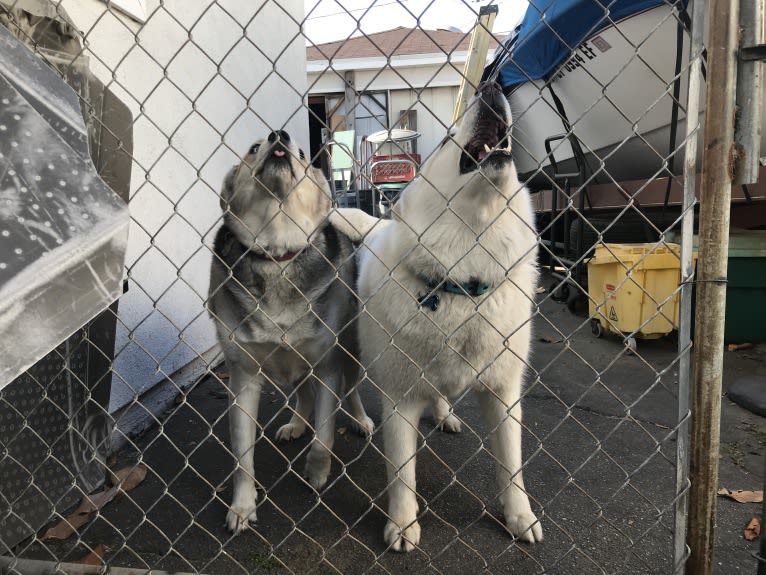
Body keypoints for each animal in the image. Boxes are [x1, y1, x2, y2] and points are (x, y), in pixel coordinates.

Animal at [208, 130, 376, 536]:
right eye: (254, 148)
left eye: (302, 153)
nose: (278, 135)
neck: (278, 254)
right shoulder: (243, 378)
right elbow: (242, 458)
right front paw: (242, 506)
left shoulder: (328, 363)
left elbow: (325, 435)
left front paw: (316, 472)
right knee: (302, 392)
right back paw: (297, 423)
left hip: (349, 347)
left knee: (350, 388)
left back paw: (360, 420)